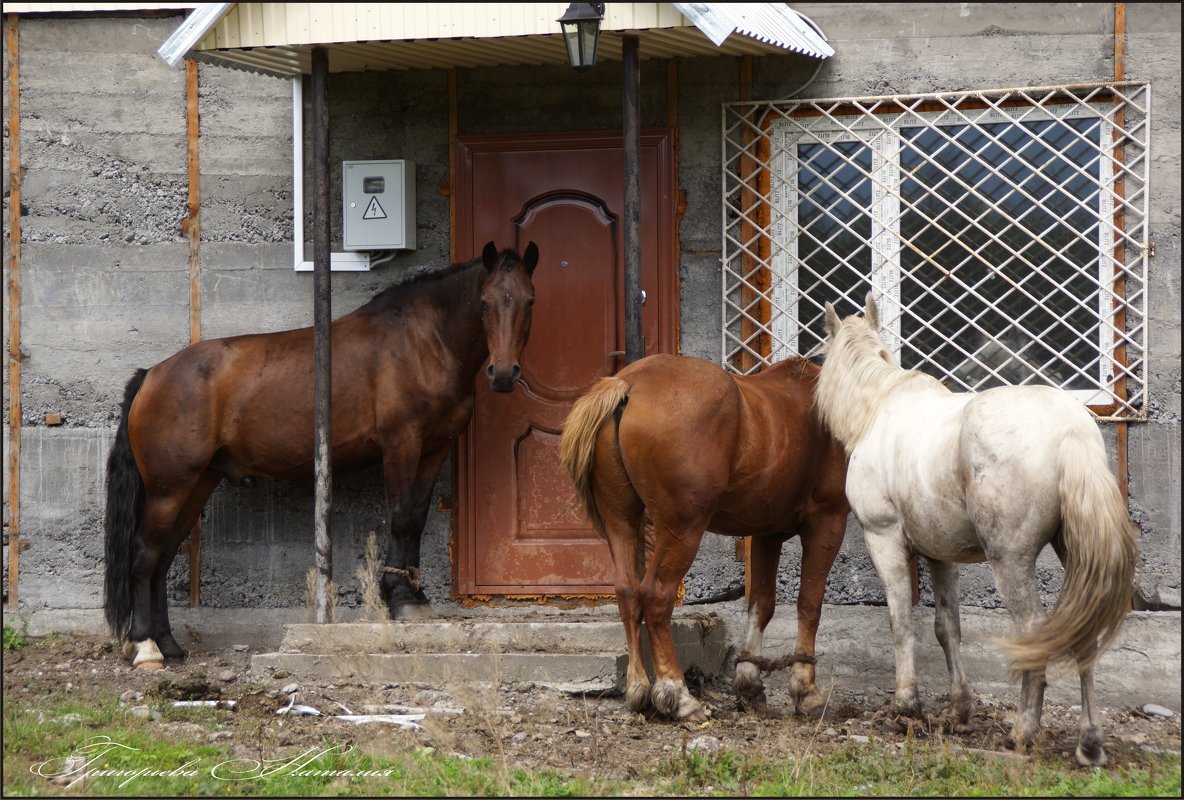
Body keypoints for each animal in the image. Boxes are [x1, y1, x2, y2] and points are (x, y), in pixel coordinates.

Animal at [106, 240, 542, 667]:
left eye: (529, 300)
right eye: (484, 301)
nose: (504, 374)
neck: (424, 341)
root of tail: (152, 375)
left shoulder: (434, 449)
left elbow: (416, 520)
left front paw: (415, 598)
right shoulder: (402, 443)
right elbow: (401, 518)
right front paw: (400, 599)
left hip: (198, 483)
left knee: (163, 557)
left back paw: (169, 645)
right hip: (169, 489)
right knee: (145, 555)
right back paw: (145, 648)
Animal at [556, 352, 847, 719]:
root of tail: (630, 383)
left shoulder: (768, 533)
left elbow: (761, 604)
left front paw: (750, 683)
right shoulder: (827, 522)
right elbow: (809, 604)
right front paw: (806, 690)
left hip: (620, 521)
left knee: (628, 592)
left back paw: (638, 688)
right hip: (682, 529)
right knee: (655, 596)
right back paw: (677, 694)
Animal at [814, 291, 1136, 766]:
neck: (878, 407)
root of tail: (1071, 431)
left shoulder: (883, 537)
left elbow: (900, 622)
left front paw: (906, 706)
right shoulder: (939, 554)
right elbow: (947, 628)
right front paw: (959, 709)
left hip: (1010, 561)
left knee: (1033, 630)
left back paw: (1022, 731)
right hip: (1076, 555)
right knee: (1084, 632)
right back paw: (1089, 743)